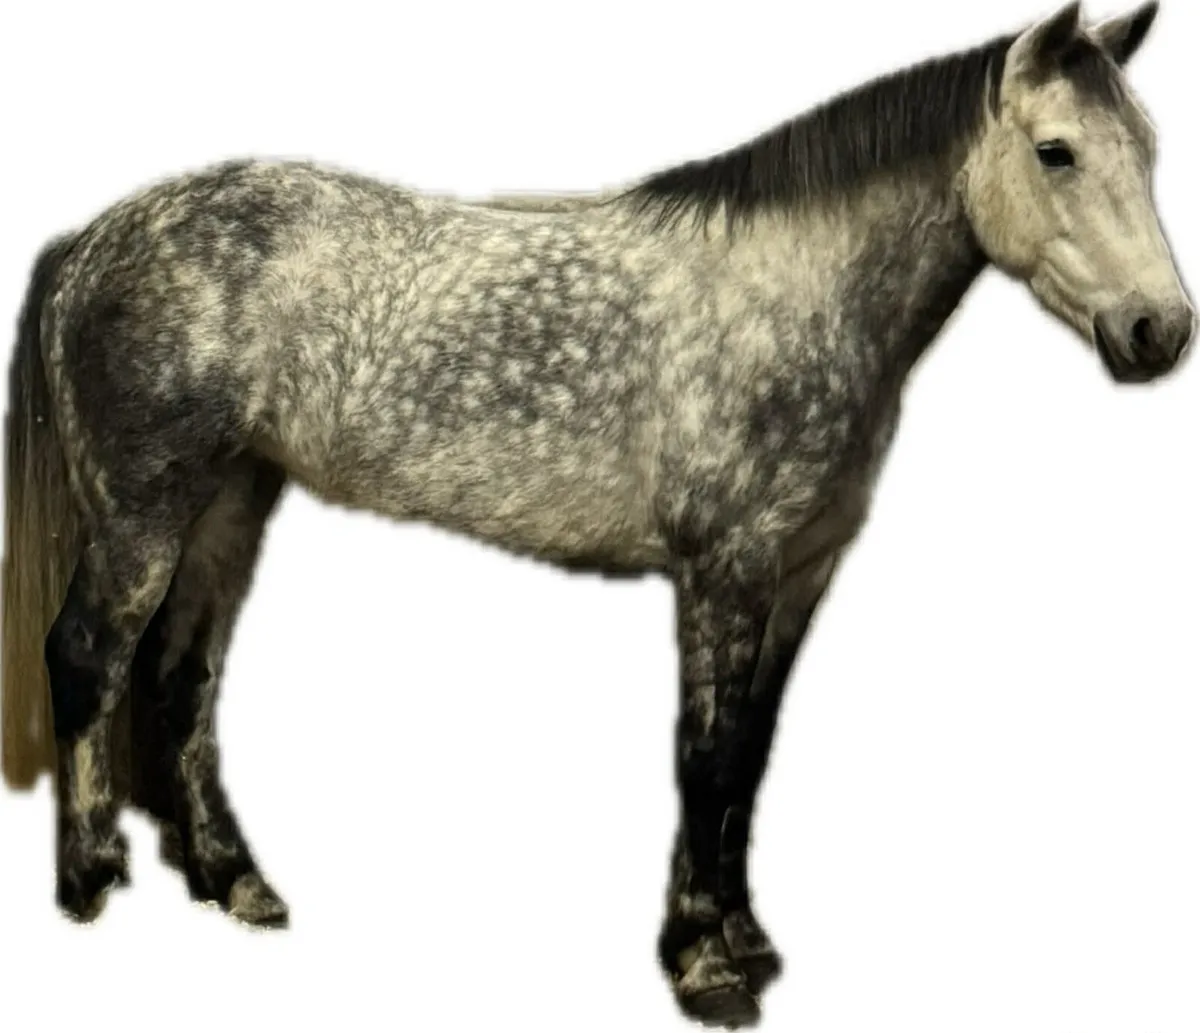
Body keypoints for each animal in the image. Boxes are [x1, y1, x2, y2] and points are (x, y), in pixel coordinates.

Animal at [1, 2, 1191, 1027]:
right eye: (1056, 151)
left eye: (1147, 146)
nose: (1159, 331)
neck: (791, 292)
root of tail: (89, 242)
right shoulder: (725, 569)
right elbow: (705, 756)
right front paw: (706, 967)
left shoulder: (800, 574)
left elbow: (750, 756)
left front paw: (743, 938)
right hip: (144, 512)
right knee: (88, 657)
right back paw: (89, 877)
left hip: (228, 502)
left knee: (178, 676)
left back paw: (232, 879)